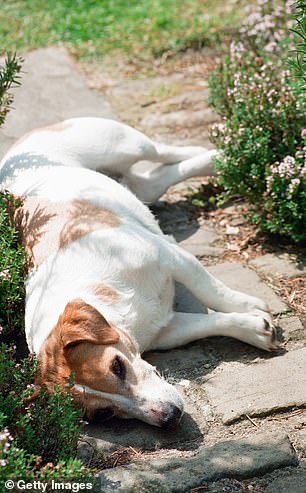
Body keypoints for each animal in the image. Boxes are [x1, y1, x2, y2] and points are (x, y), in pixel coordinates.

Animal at [0, 118, 278, 426]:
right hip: (142, 186)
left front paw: (250, 304)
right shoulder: (167, 330)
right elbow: (208, 325)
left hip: (125, 145)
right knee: (160, 177)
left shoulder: (171, 257)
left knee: (167, 152)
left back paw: (220, 152)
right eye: (104, 414)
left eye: (117, 366)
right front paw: (255, 329)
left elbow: (211, 290)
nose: (170, 416)